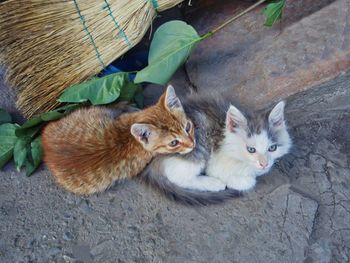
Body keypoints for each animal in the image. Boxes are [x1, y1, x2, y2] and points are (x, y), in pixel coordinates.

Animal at [141, 92, 292, 205]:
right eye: (251, 150)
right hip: (196, 150)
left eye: (272, 148)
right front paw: (243, 179)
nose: (264, 164)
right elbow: (245, 180)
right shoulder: (217, 164)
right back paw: (213, 183)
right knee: (177, 177)